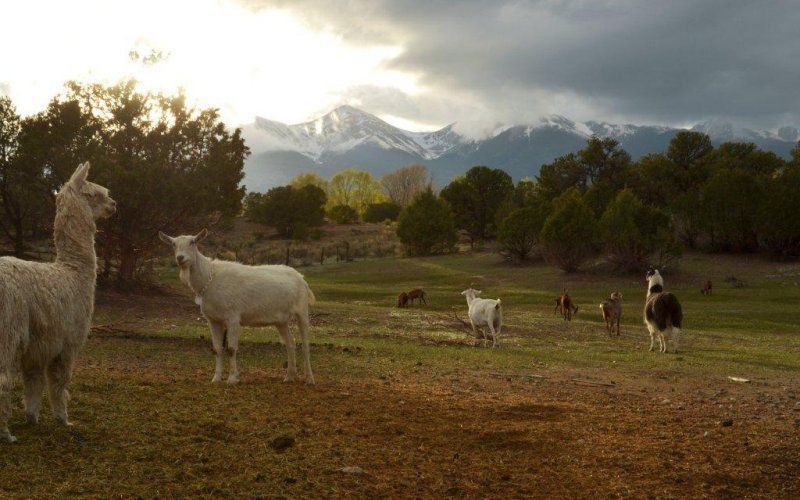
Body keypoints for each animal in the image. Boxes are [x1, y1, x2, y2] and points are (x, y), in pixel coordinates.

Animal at [0, 162, 116, 443]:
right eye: (97, 193)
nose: (114, 204)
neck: (72, 272)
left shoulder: (38, 345)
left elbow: (33, 383)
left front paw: (32, 418)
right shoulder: (68, 343)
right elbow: (60, 382)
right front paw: (64, 420)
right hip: (9, 330)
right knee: (3, 380)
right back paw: (6, 434)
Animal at [159, 229, 316, 385]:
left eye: (193, 242)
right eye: (173, 244)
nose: (180, 258)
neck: (209, 278)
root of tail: (302, 279)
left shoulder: (233, 316)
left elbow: (231, 348)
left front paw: (232, 378)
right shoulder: (213, 320)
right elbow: (217, 349)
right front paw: (216, 378)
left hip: (302, 311)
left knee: (305, 344)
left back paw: (309, 379)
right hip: (280, 320)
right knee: (290, 343)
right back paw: (289, 376)